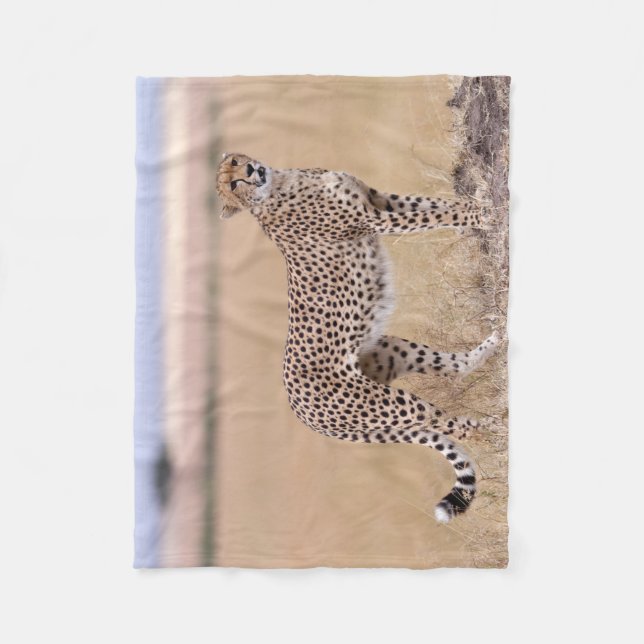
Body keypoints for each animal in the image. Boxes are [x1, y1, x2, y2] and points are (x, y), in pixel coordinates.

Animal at [216, 152, 500, 522]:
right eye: (234, 185)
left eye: (236, 163)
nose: (251, 171)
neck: (279, 183)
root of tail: (302, 415)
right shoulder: (372, 220)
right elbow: (432, 214)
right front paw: (481, 214)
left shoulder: (379, 199)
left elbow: (431, 204)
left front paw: (474, 201)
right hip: (388, 404)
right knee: (447, 425)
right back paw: (497, 427)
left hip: (390, 351)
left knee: (454, 369)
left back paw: (494, 343)